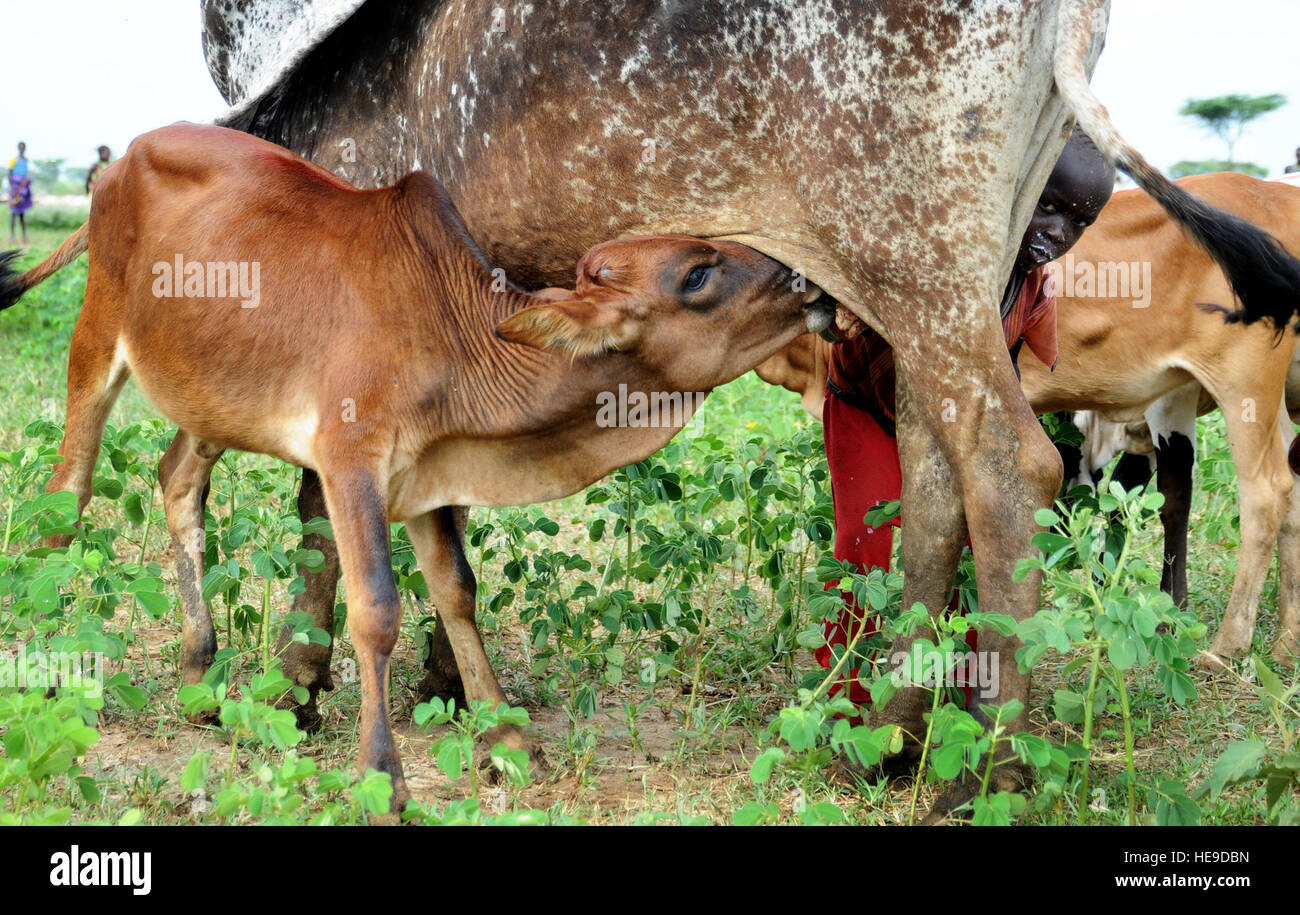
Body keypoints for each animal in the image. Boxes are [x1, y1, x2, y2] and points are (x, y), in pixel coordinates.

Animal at [0, 121, 837, 805]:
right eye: (697, 274)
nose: (815, 287)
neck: (466, 338)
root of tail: (122, 161)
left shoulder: (430, 475)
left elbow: (457, 591)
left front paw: (505, 736)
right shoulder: (350, 461)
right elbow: (375, 609)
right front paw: (382, 775)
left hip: (208, 388)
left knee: (177, 479)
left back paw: (200, 678)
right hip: (97, 339)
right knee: (66, 493)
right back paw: (44, 660)